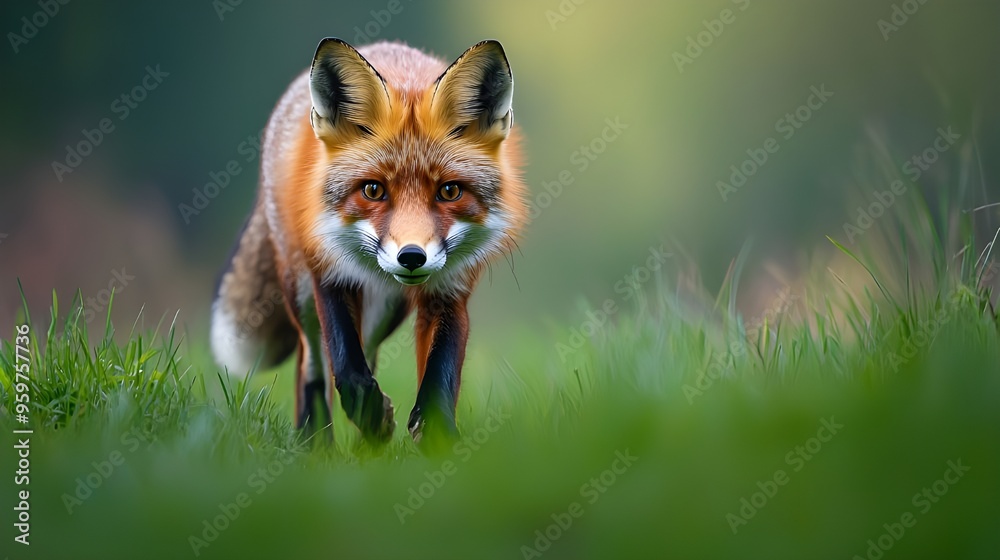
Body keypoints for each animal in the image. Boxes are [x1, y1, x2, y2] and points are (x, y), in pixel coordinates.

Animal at [210, 38, 527, 448]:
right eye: (373, 190)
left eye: (449, 191)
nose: (412, 257)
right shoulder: (329, 273)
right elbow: (346, 366)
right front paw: (369, 414)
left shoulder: (449, 290)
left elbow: (439, 375)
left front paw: (434, 435)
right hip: (300, 290)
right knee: (312, 362)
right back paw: (316, 443)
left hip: (387, 308)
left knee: (369, 352)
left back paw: (366, 448)